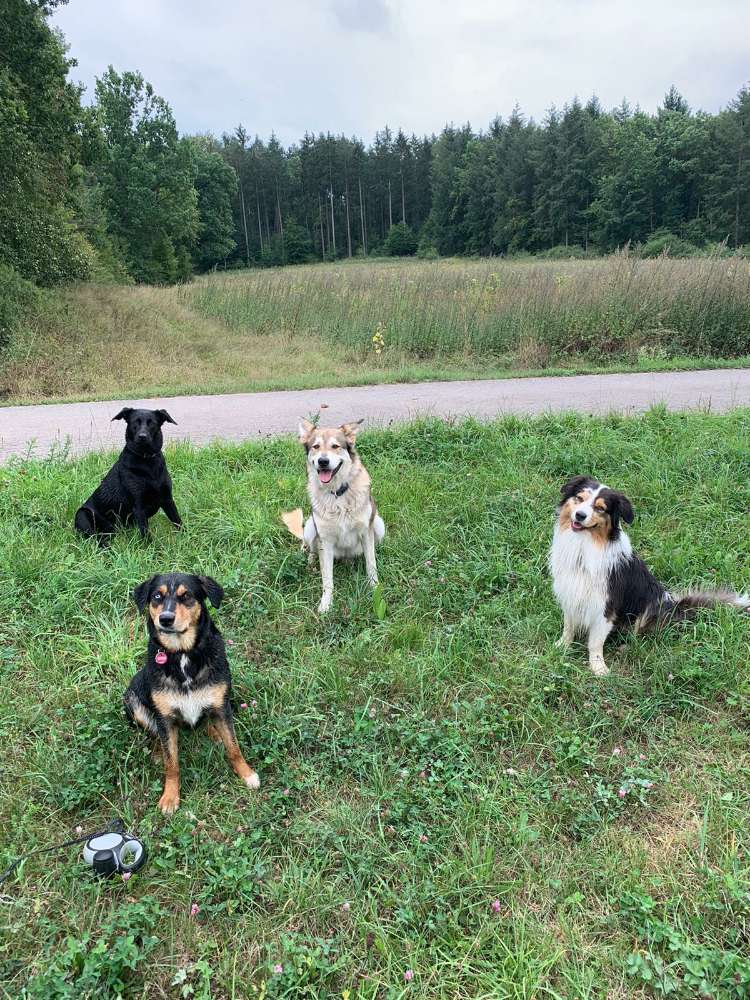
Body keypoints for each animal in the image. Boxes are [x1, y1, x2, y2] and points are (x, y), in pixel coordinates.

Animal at [74, 406, 183, 544]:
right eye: (134, 422)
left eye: (152, 423)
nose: (142, 436)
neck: (147, 461)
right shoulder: (139, 507)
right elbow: (146, 535)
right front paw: (152, 549)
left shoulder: (167, 499)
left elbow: (178, 521)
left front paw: (188, 536)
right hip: (82, 515)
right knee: (96, 539)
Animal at [124, 576, 262, 816]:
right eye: (157, 596)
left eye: (186, 595)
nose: (165, 619)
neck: (182, 653)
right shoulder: (164, 718)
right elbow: (172, 764)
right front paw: (170, 797)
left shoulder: (221, 705)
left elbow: (234, 747)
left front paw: (247, 774)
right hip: (132, 700)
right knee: (154, 734)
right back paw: (158, 751)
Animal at [296, 418, 384, 612]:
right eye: (315, 446)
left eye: (335, 446)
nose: (323, 461)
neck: (337, 493)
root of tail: (345, 557)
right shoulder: (325, 540)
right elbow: (327, 578)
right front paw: (326, 604)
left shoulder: (366, 532)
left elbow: (371, 564)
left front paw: (374, 589)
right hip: (310, 526)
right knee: (310, 549)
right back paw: (310, 563)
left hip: (379, 524)